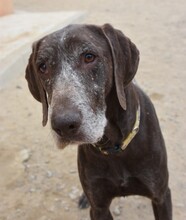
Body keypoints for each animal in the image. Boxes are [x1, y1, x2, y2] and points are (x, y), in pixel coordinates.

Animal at [25, 23, 172, 219]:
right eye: (42, 67)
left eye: (89, 57)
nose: (63, 125)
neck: (115, 146)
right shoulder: (99, 208)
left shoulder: (161, 197)